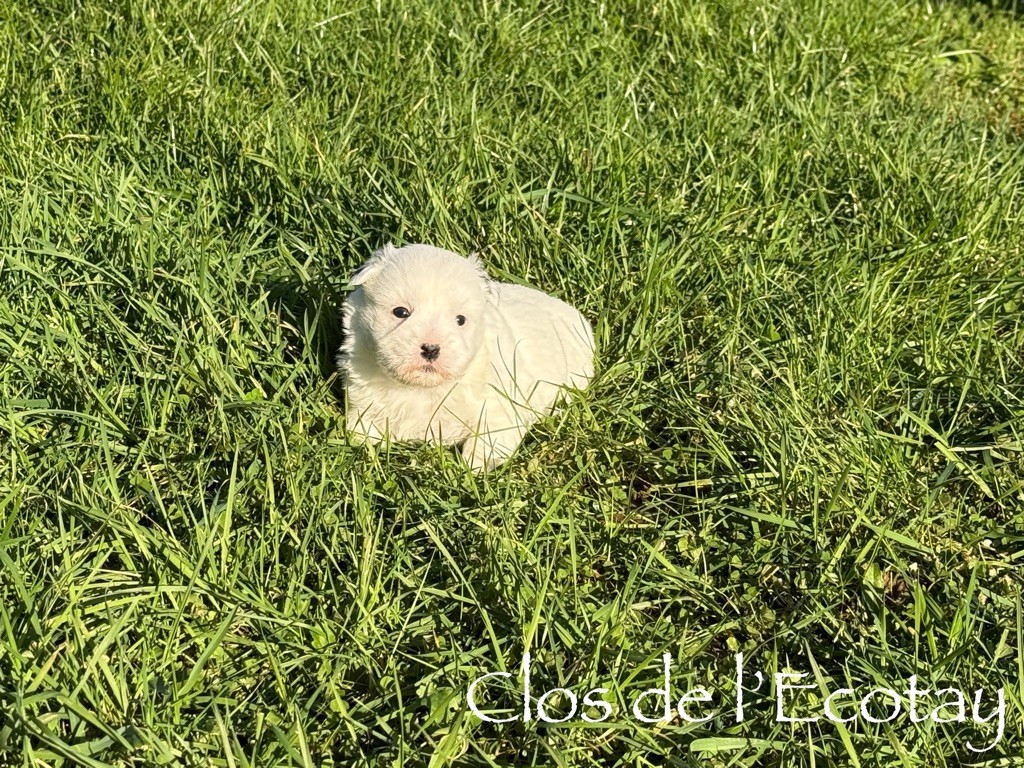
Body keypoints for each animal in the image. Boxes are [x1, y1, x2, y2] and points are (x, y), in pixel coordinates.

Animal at [337, 243, 593, 473]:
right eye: (400, 312)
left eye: (460, 319)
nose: (431, 348)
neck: (424, 390)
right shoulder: (364, 402)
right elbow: (361, 431)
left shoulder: (499, 409)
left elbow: (483, 445)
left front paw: (472, 470)